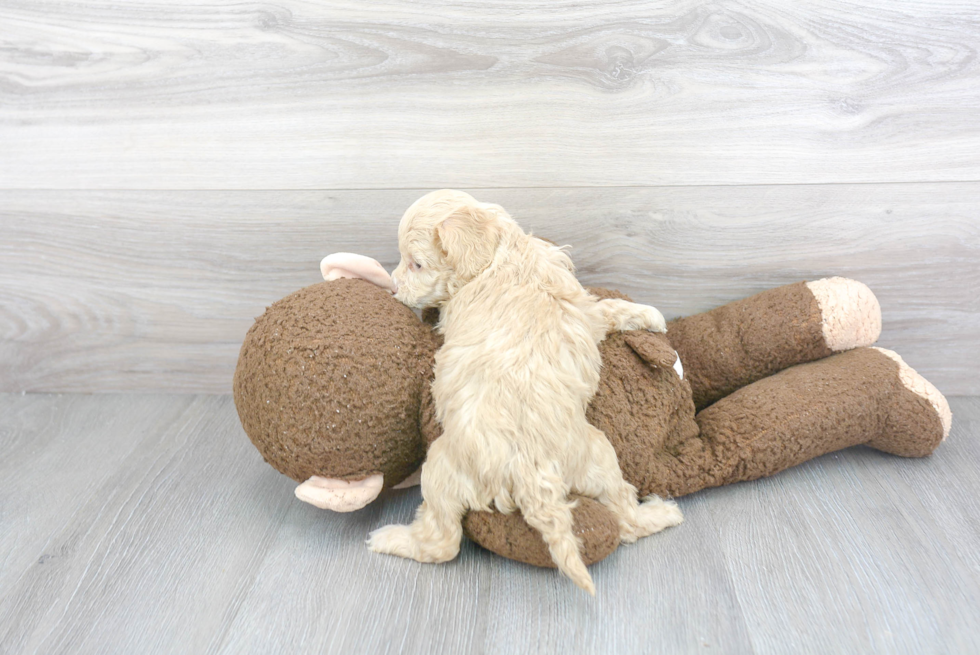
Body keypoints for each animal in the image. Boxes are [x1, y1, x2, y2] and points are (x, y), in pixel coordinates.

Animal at [368, 190, 680, 596]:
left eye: (416, 263)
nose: (392, 287)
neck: (500, 256)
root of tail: (530, 471)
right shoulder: (580, 307)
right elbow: (605, 308)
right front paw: (651, 315)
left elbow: (607, 307)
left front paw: (651, 315)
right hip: (593, 456)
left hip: (448, 467)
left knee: (444, 541)